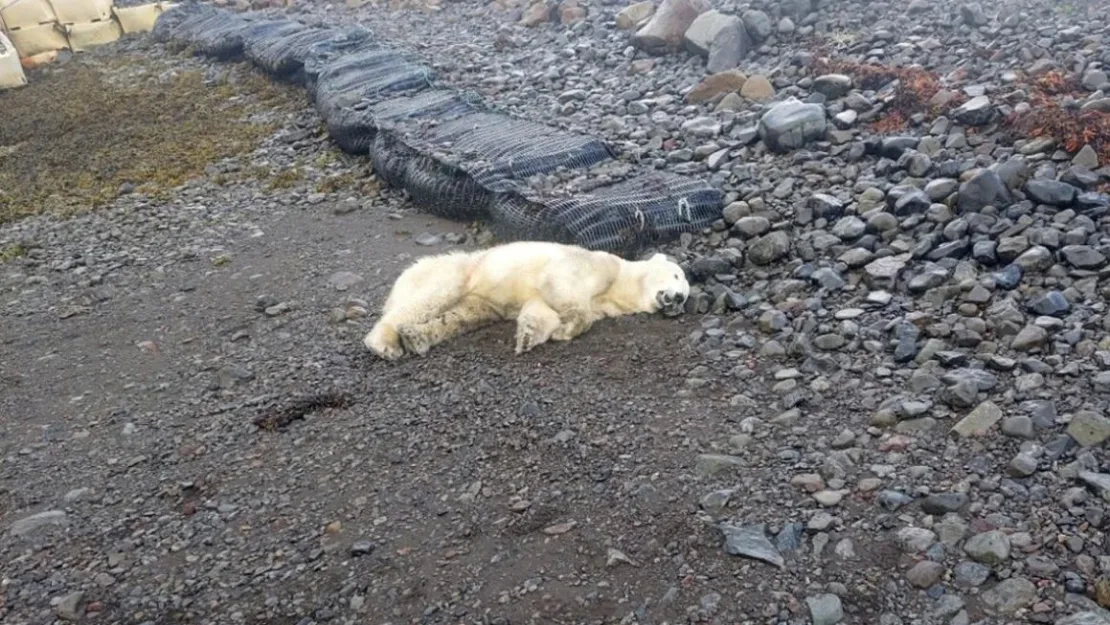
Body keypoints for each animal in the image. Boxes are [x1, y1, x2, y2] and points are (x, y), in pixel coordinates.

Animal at [363, 240, 690, 360]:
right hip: (457, 272)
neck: (620, 284)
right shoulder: (595, 265)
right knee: (432, 297)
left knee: (462, 316)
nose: (677, 299)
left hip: (478, 301)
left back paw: (417, 338)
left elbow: (540, 308)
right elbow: (562, 288)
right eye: (676, 276)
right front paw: (567, 327)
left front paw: (530, 335)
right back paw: (384, 344)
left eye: (686, 296)